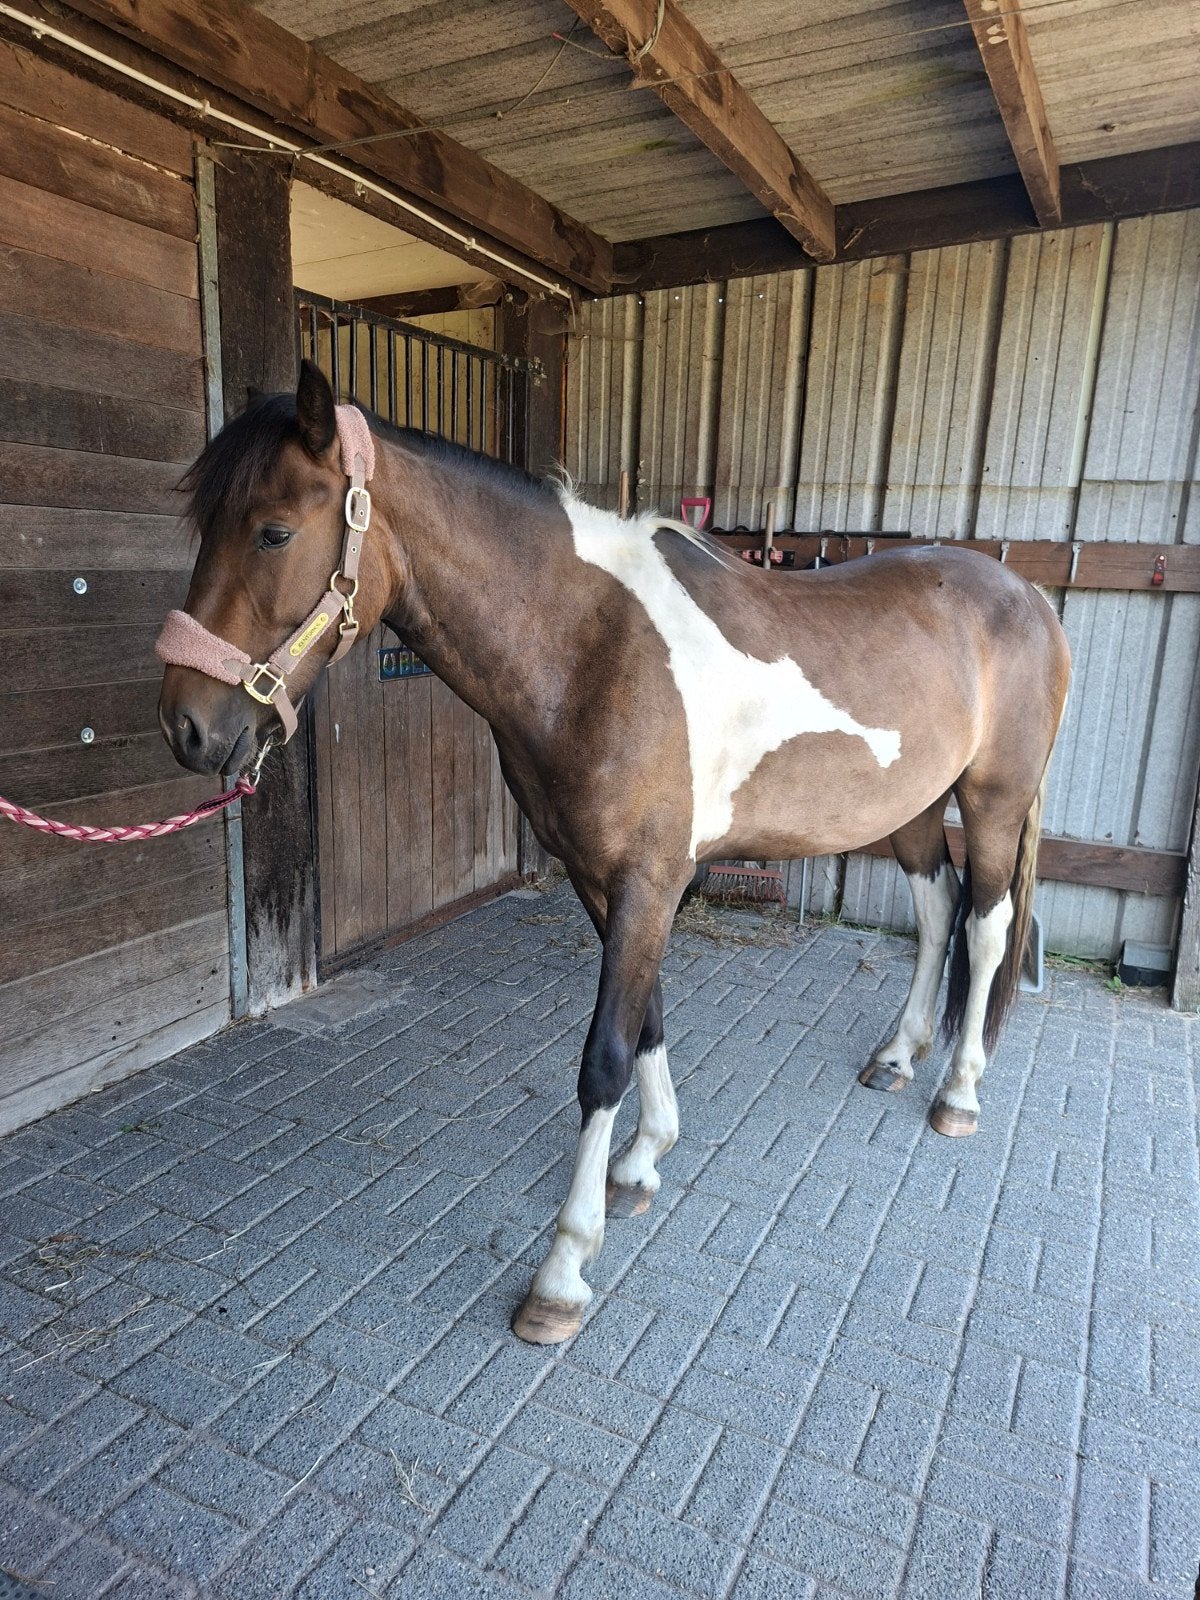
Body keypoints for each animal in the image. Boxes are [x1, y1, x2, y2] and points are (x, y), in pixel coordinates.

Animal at [156, 360, 1071, 1346]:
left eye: (274, 530)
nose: (186, 727)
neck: (590, 647)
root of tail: (1028, 598)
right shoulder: (606, 881)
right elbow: (649, 1022)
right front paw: (642, 1163)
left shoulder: (648, 881)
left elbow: (602, 1059)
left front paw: (563, 1269)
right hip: (910, 805)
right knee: (938, 912)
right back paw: (898, 1057)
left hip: (992, 800)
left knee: (985, 927)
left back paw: (958, 1094)